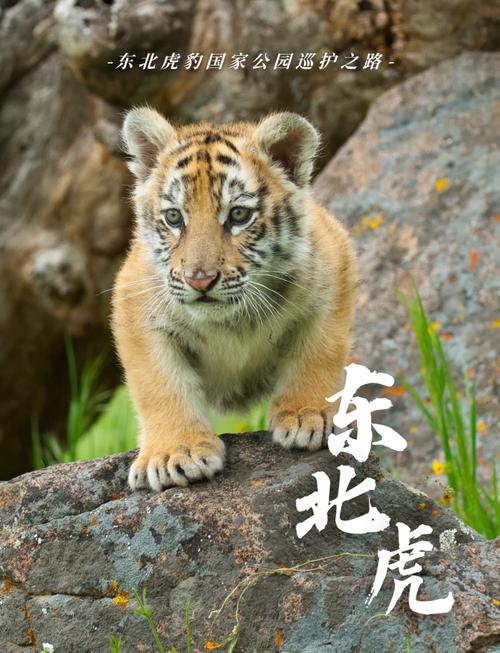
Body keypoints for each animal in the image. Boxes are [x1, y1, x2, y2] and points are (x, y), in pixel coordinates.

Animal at [112, 108, 357, 492]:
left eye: (239, 215)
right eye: (174, 217)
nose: (200, 279)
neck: (231, 319)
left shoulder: (333, 273)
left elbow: (319, 353)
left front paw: (309, 416)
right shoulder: (136, 307)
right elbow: (160, 384)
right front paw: (175, 454)